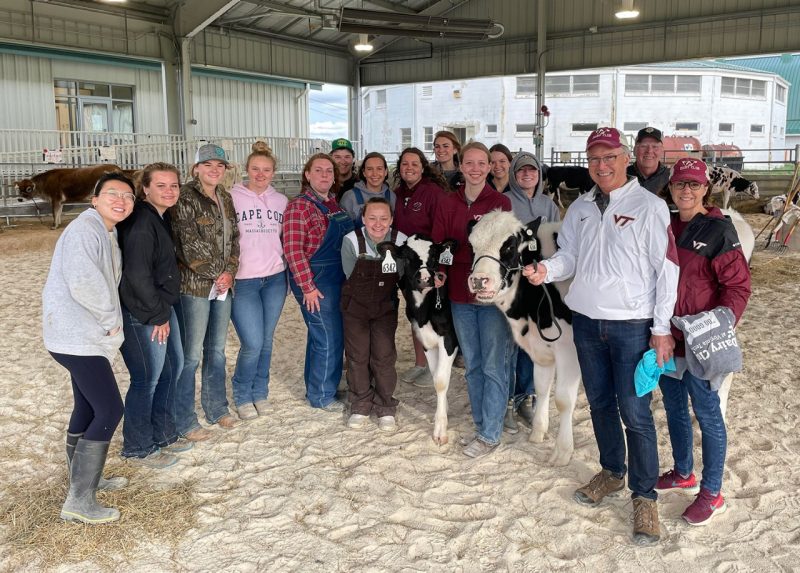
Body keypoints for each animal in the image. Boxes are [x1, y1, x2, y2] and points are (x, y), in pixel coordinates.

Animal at [384, 235, 460, 444]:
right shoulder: (426, 341)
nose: (426, 278)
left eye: (434, 255)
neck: (424, 311)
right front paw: (444, 410)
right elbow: (435, 377)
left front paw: (440, 430)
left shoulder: (449, 339)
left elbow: (441, 380)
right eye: (407, 257)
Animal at [466, 210, 580, 464]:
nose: (479, 280)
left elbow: (563, 400)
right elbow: (542, 387)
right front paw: (538, 433)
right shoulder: (542, 350)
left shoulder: (570, 349)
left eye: (509, 246)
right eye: (472, 246)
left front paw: (562, 452)